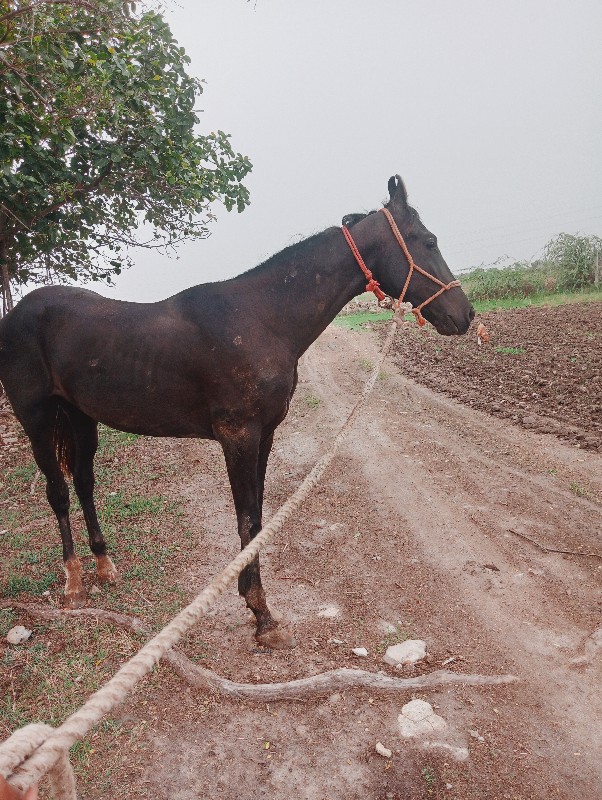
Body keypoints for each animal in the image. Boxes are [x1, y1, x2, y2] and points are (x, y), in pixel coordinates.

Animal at [0, 177, 474, 648]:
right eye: (428, 240)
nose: (465, 314)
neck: (262, 318)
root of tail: (16, 314)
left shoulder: (264, 434)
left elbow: (258, 518)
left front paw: (255, 604)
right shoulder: (238, 435)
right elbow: (246, 517)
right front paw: (262, 615)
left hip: (81, 417)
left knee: (84, 482)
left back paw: (104, 566)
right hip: (37, 419)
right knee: (58, 492)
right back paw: (74, 585)